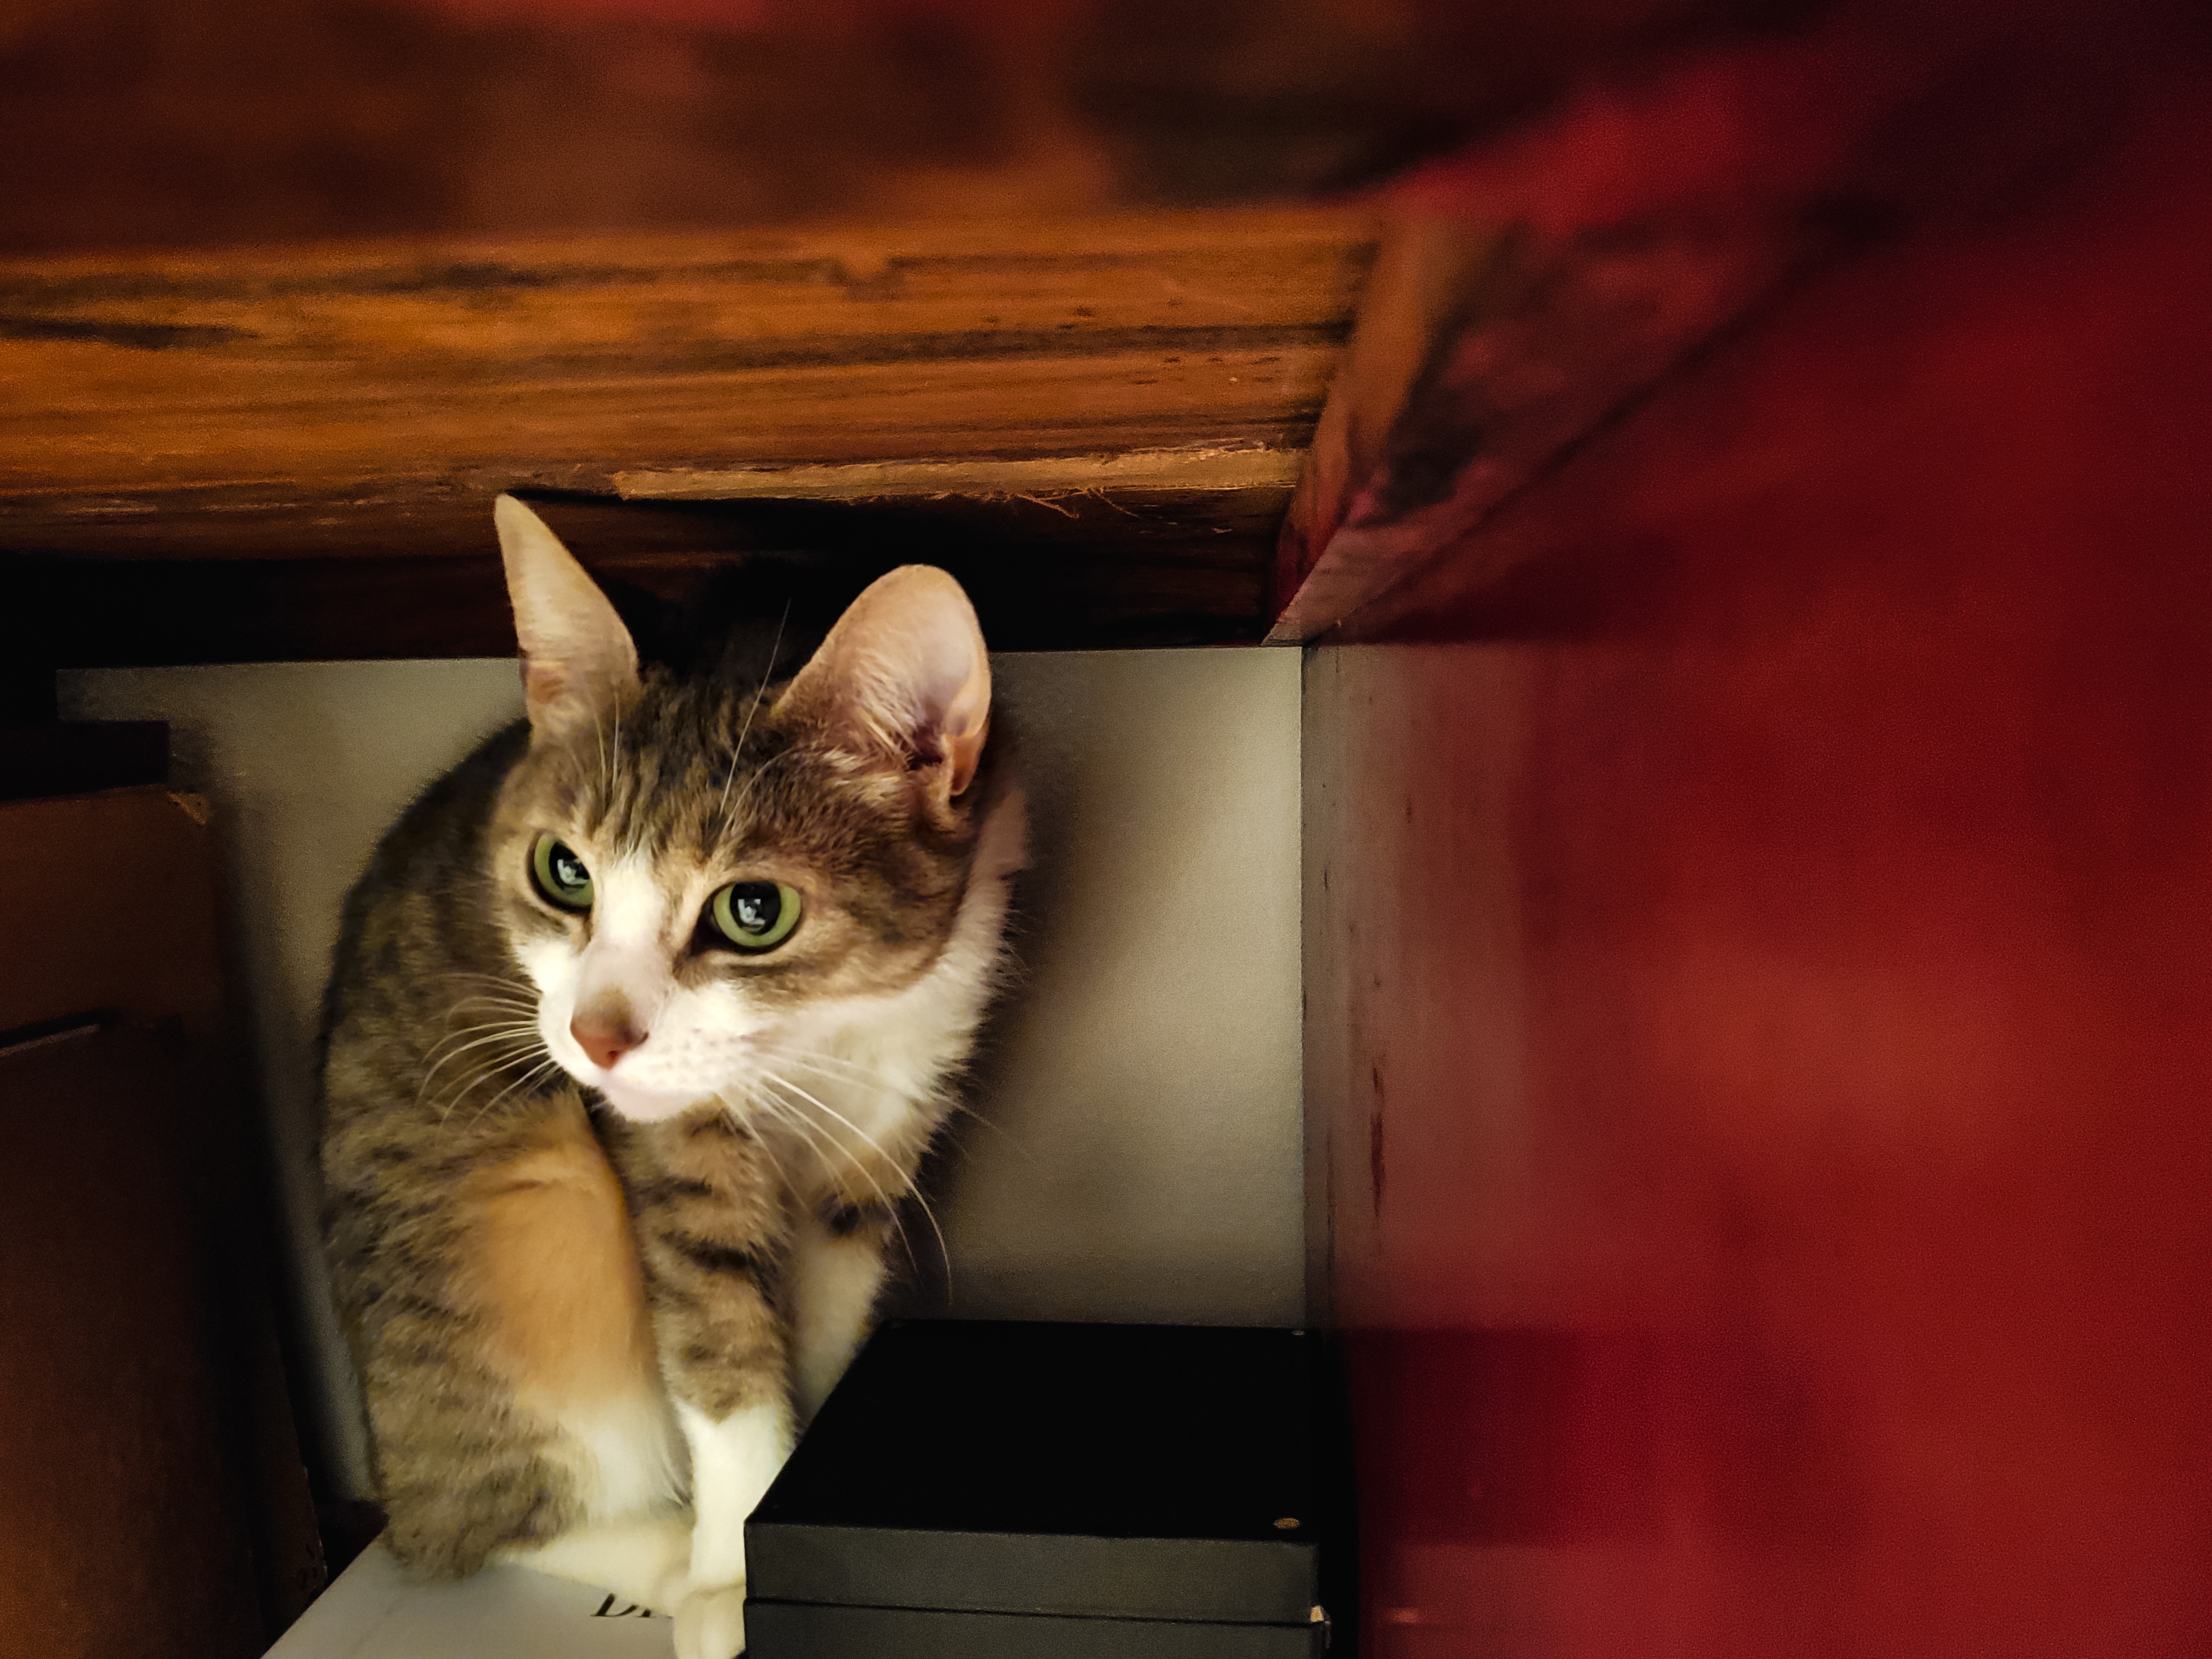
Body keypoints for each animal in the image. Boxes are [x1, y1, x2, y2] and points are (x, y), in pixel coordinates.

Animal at [316, 498, 1022, 1659]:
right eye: (563, 869)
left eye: (753, 908)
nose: (597, 1036)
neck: (819, 1039)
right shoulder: (675, 1148)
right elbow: (720, 1343)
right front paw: (731, 1576)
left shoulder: (882, 1130)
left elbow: (822, 1323)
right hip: (528, 1203)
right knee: (473, 1518)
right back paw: (659, 1552)